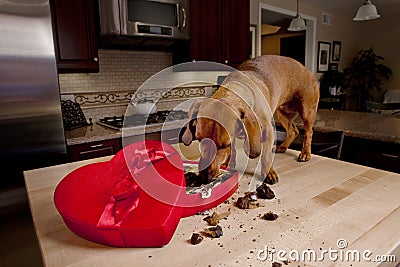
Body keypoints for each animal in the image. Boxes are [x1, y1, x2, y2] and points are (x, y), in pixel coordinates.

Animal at [181, 55, 318, 185]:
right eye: (199, 139)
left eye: (224, 145)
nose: (205, 178)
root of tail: (307, 70)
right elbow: (233, 151)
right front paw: (229, 164)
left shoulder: (268, 131)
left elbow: (265, 157)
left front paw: (268, 173)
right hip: (283, 113)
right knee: (293, 131)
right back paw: (283, 147)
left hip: (307, 112)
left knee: (308, 132)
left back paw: (305, 153)